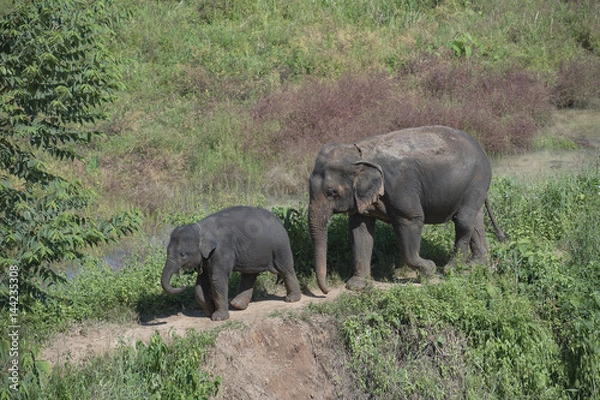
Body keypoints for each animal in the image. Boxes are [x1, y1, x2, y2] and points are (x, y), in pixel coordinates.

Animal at [161, 206, 302, 322]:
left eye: (182, 254)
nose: (183, 284)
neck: (200, 228)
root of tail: (279, 220)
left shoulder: (222, 250)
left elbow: (217, 278)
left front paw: (218, 318)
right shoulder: (208, 256)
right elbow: (200, 284)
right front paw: (209, 312)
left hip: (280, 245)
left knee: (285, 269)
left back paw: (292, 299)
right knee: (249, 274)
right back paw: (237, 305)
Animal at [310, 125, 506, 294]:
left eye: (332, 192)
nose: (326, 291)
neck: (359, 152)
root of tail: (479, 145)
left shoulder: (399, 186)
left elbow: (411, 220)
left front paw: (429, 270)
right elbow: (360, 231)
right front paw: (357, 286)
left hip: (477, 180)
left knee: (463, 220)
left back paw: (451, 268)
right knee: (475, 220)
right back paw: (477, 264)